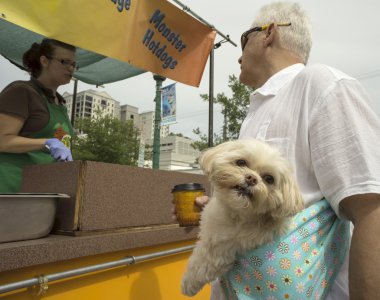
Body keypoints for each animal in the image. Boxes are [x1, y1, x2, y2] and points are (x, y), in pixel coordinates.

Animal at [183, 139, 304, 296]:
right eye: (241, 162)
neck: (237, 214)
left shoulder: (220, 249)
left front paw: (188, 284)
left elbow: (200, 263)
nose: (251, 178)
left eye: (269, 178)